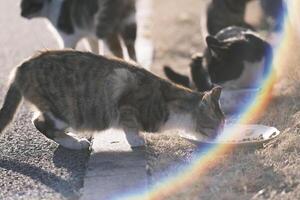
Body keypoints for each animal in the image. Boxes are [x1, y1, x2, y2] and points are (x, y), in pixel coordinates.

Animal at [0, 50, 225, 149]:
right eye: (218, 125)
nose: (221, 137)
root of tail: (22, 66)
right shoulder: (127, 103)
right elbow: (130, 126)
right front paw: (137, 140)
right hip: (64, 111)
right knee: (39, 123)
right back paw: (73, 142)